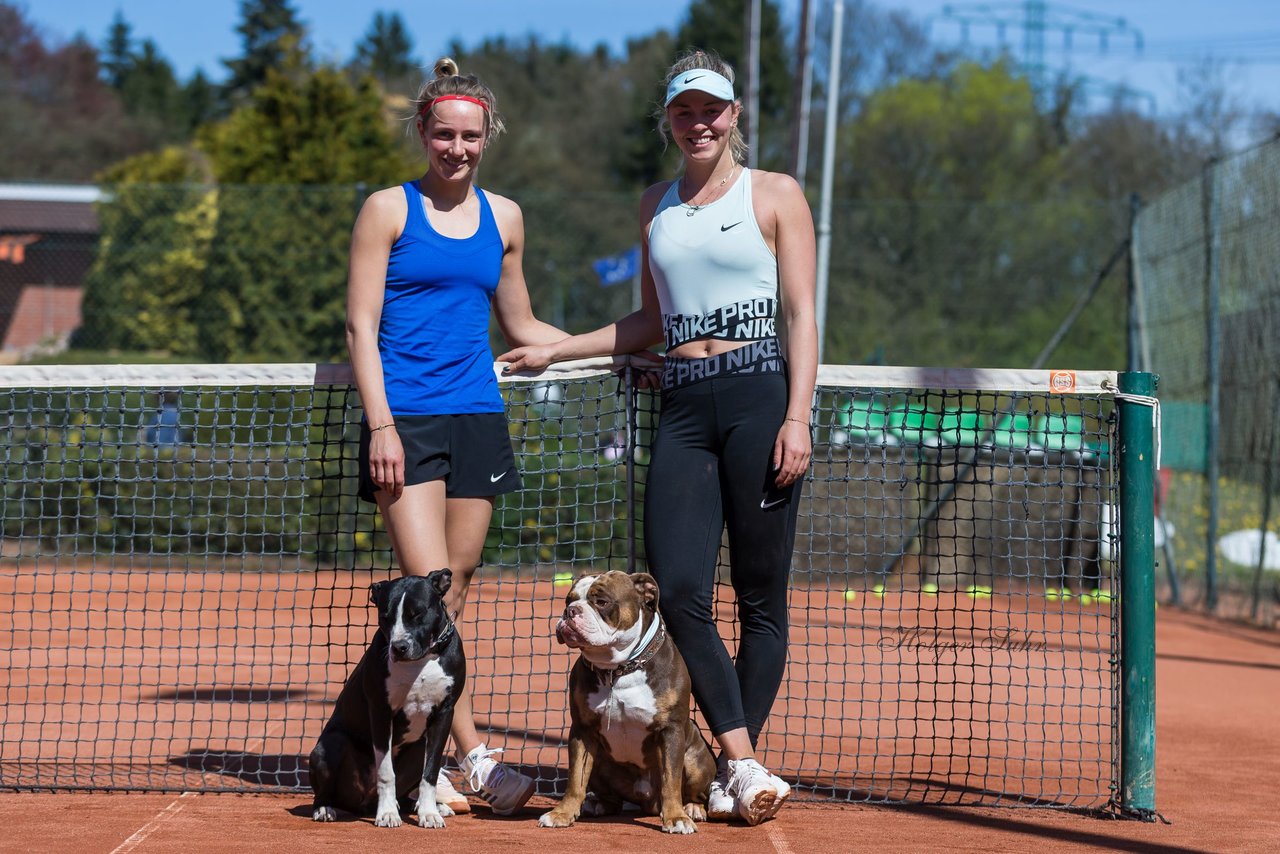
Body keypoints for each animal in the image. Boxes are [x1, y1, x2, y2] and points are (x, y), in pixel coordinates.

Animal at [308, 571, 465, 829]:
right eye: (385, 617)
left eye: (417, 613)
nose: (399, 647)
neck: (421, 661)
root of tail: (364, 802)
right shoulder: (381, 711)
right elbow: (385, 772)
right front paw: (388, 813)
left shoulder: (444, 713)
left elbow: (430, 772)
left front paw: (429, 813)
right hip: (330, 745)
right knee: (325, 790)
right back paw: (325, 809)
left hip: (418, 748)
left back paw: (429, 806)